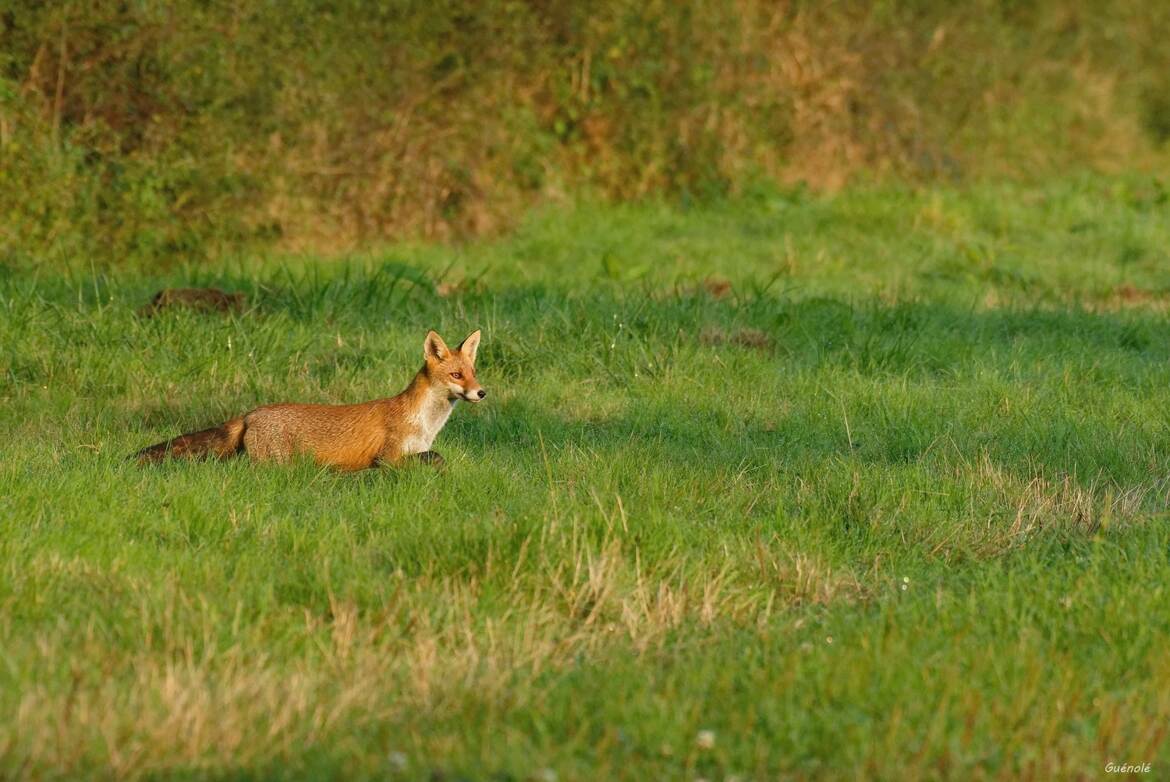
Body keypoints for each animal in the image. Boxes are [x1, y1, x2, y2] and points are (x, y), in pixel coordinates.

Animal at [133, 330, 484, 470]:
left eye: (473, 372)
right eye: (456, 375)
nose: (482, 392)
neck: (424, 422)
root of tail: (251, 413)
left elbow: (435, 457)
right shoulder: (387, 458)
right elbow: (436, 458)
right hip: (274, 464)